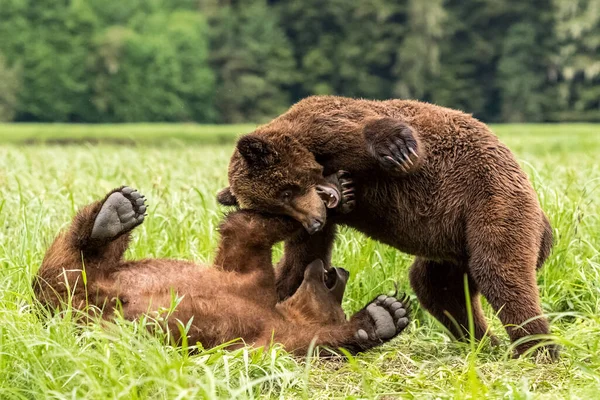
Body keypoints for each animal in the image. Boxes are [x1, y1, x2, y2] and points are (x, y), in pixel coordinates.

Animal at [35, 186, 410, 354]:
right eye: (339, 295)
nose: (342, 272)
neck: (282, 309)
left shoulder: (273, 334)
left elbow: (310, 343)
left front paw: (384, 314)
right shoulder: (251, 274)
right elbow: (248, 230)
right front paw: (328, 197)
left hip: (79, 307)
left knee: (65, 270)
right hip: (74, 284)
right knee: (68, 260)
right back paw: (117, 210)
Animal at [218, 95, 556, 358]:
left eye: (286, 191)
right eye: (276, 209)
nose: (314, 221)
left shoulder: (328, 127)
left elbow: (371, 133)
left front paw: (397, 147)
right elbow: (300, 261)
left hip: (489, 200)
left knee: (499, 270)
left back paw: (537, 347)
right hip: (453, 242)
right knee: (437, 286)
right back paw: (483, 340)